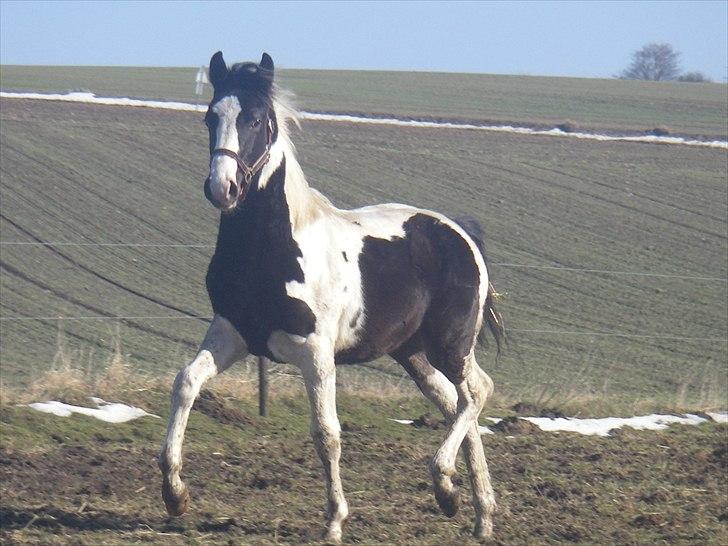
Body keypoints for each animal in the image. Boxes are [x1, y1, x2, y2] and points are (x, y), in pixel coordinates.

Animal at [158, 51, 506, 540]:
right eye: (210, 116)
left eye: (257, 119)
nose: (222, 188)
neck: (271, 251)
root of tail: (461, 233)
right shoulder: (232, 333)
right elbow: (185, 383)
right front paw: (175, 494)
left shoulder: (316, 351)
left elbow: (327, 432)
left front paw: (335, 522)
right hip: (413, 354)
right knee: (458, 402)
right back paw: (475, 511)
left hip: (450, 345)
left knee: (476, 393)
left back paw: (446, 483)